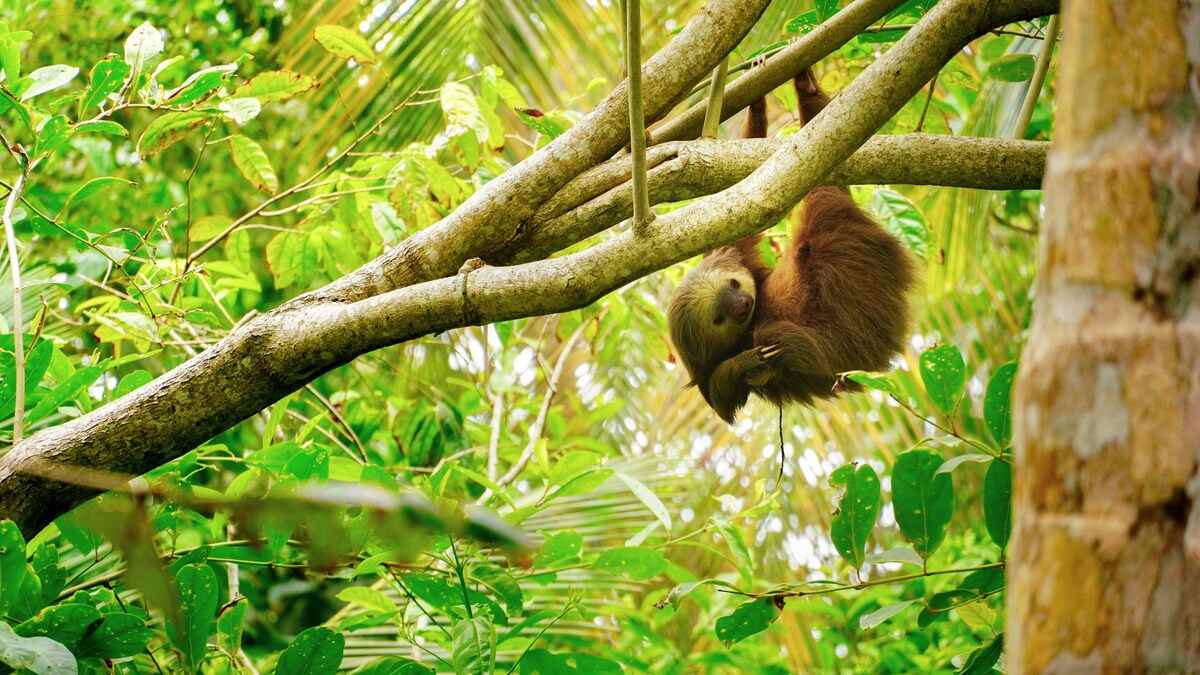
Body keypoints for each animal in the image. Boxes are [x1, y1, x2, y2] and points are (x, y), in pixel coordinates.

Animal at [668, 70, 915, 424]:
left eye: (734, 284)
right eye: (718, 318)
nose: (743, 304)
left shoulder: (734, 250)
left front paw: (757, 103)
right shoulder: (704, 368)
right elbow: (720, 398)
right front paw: (748, 360)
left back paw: (806, 88)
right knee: (824, 195)